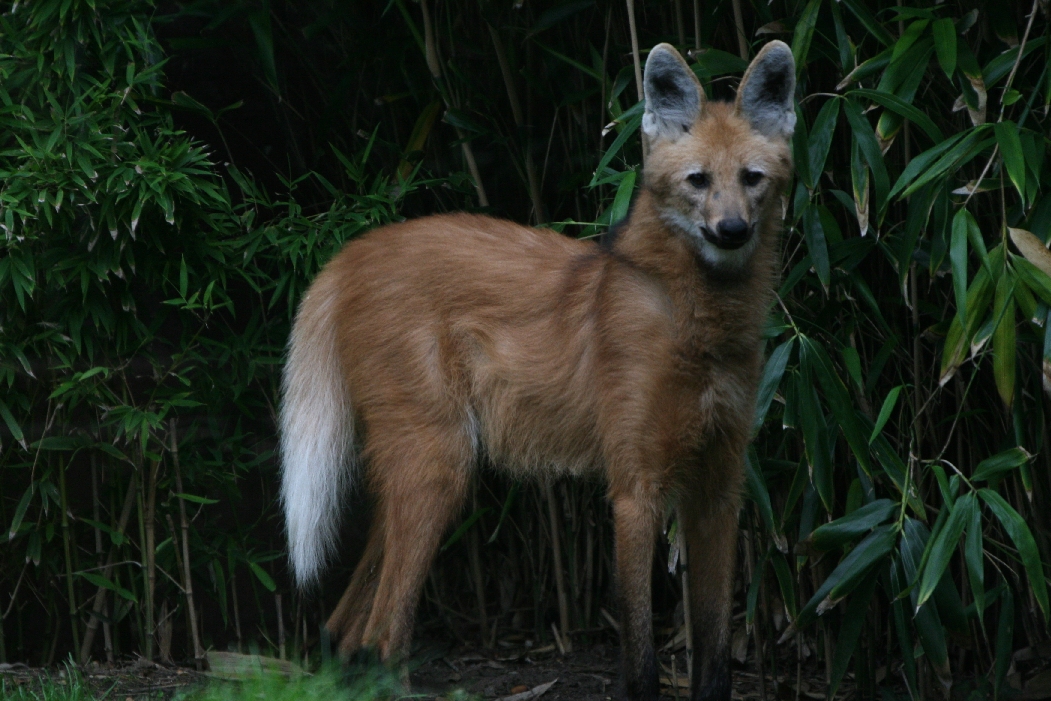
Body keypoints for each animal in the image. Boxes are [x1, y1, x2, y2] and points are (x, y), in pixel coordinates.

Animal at [280, 41, 795, 701]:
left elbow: (715, 654)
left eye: (752, 179)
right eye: (698, 180)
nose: (731, 230)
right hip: (441, 465)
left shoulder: (718, 487)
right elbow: (640, 657)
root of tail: (351, 251)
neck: (695, 319)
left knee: (343, 629)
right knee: (381, 634)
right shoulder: (636, 487)